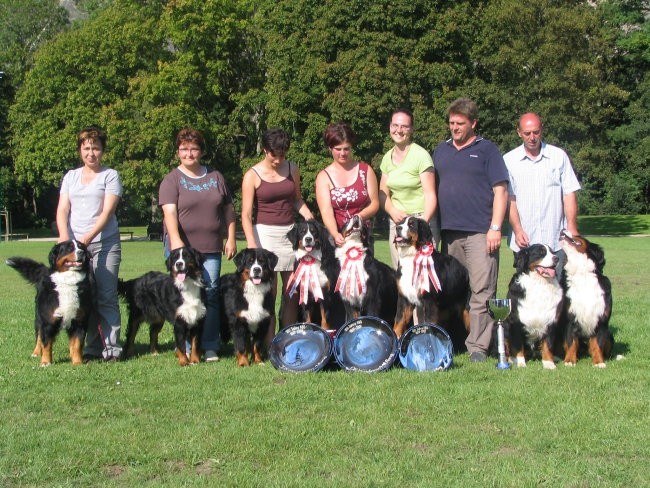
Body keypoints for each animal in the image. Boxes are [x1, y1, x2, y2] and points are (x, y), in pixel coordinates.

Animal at [388, 216, 468, 350]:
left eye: (411, 225)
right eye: (400, 223)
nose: (398, 228)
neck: (412, 257)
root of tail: (464, 269)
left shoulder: (430, 301)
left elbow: (429, 324)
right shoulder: (404, 298)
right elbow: (398, 320)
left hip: (465, 309)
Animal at [556, 231, 612, 368]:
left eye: (577, 235)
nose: (563, 230)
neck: (582, 274)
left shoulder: (601, 320)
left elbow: (597, 344)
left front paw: (599, 362)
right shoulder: (570, 318)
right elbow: (571, 342)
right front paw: (569, 361)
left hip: (609, 335)